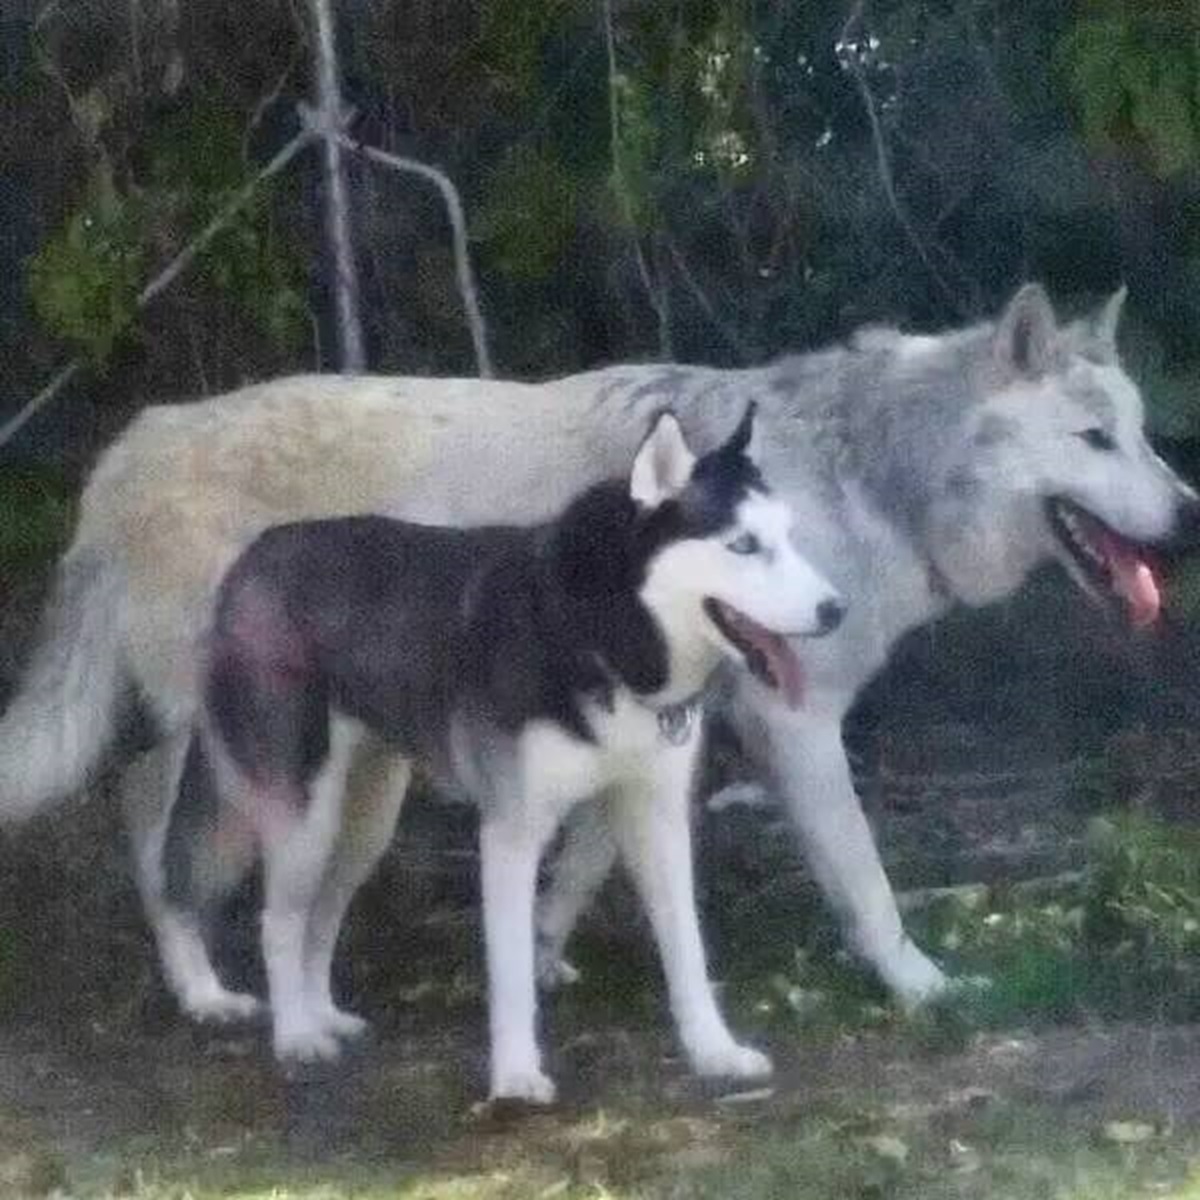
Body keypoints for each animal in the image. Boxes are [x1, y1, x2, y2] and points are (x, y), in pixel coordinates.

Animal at [4, 280, 1195, 1022]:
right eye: (1096, 439)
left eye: (1140, 434)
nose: (1188, 516)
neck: (866, 474)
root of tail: (131, 444)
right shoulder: (796, 725)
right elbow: (867, 882)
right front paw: (924, 990)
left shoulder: (669, 725)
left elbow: (578, 867)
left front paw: (534, 958)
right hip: (242, 736)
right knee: (150, 816)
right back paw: (205, 992)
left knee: (138, 802)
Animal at [166, 408, 844, 1099]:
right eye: (743, 545)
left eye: (790, 535)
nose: (835, 610)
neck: (602, 636)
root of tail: (250, 558)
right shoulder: (512, 833)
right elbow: (514, 971)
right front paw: (517, 1076)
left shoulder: (656, 817)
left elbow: (687, 948)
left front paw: (714, 1050)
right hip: (303, 815)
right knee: (275, 920)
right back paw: (293, 1033)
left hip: (363, 823)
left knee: (319, 917)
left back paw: (319, 1012)